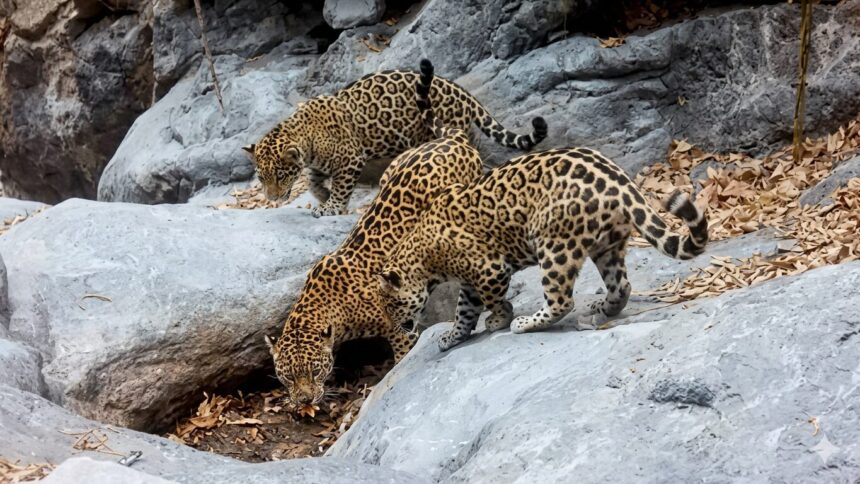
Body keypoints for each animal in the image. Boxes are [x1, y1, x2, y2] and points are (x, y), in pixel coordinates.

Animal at [243, 59, 547, 217]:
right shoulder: (318, 164)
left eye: (280, 176)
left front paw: (333, 206)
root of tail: (464, 93)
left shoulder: (351, 159)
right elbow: (314, 182)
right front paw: (323, 198)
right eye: (262, 177)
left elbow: (340, 187)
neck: (305, 136)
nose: (271, 198)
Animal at [265, 60, 485, 406]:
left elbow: (403, 352)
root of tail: (454, 140)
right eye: (286, 376)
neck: (330, 308)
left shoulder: (398, 324)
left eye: (314, 370)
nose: (304, 401)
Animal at [376, 147, 709, 351]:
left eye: (391, 305)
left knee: (562, 301)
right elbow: (464, 311)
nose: (398, 328)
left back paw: (525, 324)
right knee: (621, 285)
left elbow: (491, 301)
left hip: (554, 246)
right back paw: (601, 310)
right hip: (607, 244)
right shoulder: (471, 280)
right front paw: (451, 336)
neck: (422, 256)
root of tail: (622, 183)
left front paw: (500, 319)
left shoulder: (490, 270)